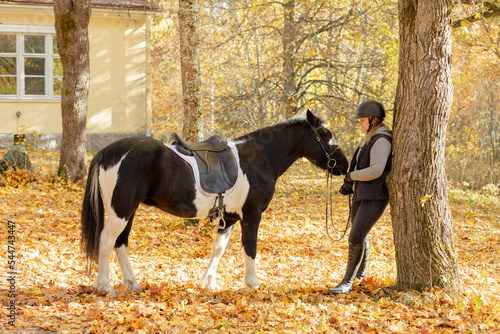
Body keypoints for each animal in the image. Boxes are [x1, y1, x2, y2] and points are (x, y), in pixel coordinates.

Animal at [81, 110, 348, 294]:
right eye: (326, 135)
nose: (344, 166)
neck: (258, 159)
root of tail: (107, 152)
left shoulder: (229, 218)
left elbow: (218, 249)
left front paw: (208, 283)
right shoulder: (252, 215)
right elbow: (249, 247)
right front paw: (252, 283)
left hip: (128, 211)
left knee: (120, 243)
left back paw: (132, 283)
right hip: (121, 211)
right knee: (106, 241)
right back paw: (104, 286)